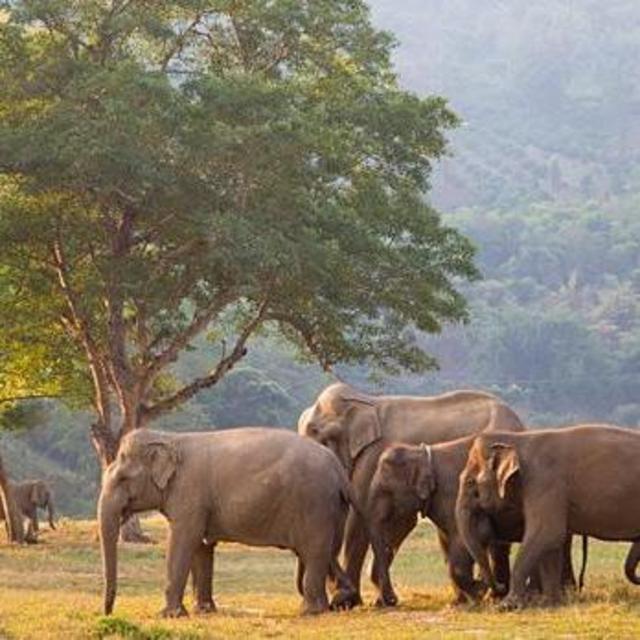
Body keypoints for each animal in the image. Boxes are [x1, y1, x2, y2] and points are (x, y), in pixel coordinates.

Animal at [99, 427, 364, 617]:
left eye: (122, 478)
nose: (108, 613)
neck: (169, 438)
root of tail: (339, 470)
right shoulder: (198, 503)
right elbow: (201, 547)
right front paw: (203, 611)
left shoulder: (189, 495)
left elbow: (183, 541)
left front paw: (168, 615)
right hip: (332, 508)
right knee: (326, 551)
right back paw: (339, 600)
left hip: (314, 504)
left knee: (314, 551)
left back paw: (310, 611)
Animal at [298, 382, 523, 605]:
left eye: (316, 431)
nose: (389, 599)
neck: (363, 401)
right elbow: (396, 521)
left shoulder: (372, 455)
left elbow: (364, 518)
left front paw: (346, 601)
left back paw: (493, 595)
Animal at [455, 424, 632, 610]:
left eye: (470, 482)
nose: (500, 586)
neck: (517, 439)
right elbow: (551, 545)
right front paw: (550, 602)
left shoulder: (544, 483)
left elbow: (547, 533)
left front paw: (506, 606)